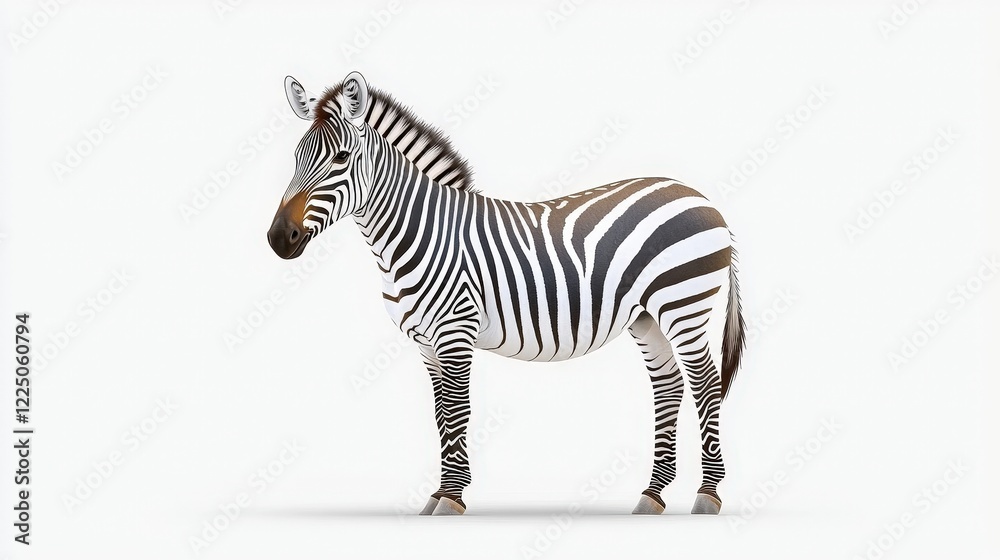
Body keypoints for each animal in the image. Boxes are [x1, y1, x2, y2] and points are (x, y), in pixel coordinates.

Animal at [267, 72, 746, 516]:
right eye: (295, 158)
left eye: (341, 158)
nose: (277, 239)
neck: (418, 233)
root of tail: (702, 197)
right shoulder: (425, 343)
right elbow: (441, 416)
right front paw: (438, 495)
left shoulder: (455, 331)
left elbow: (458, 410)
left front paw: (452, 498)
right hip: (647, 316)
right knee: (668, 385)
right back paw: (652, 495)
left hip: (683, 305)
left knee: (705, 384)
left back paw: (708, 494)